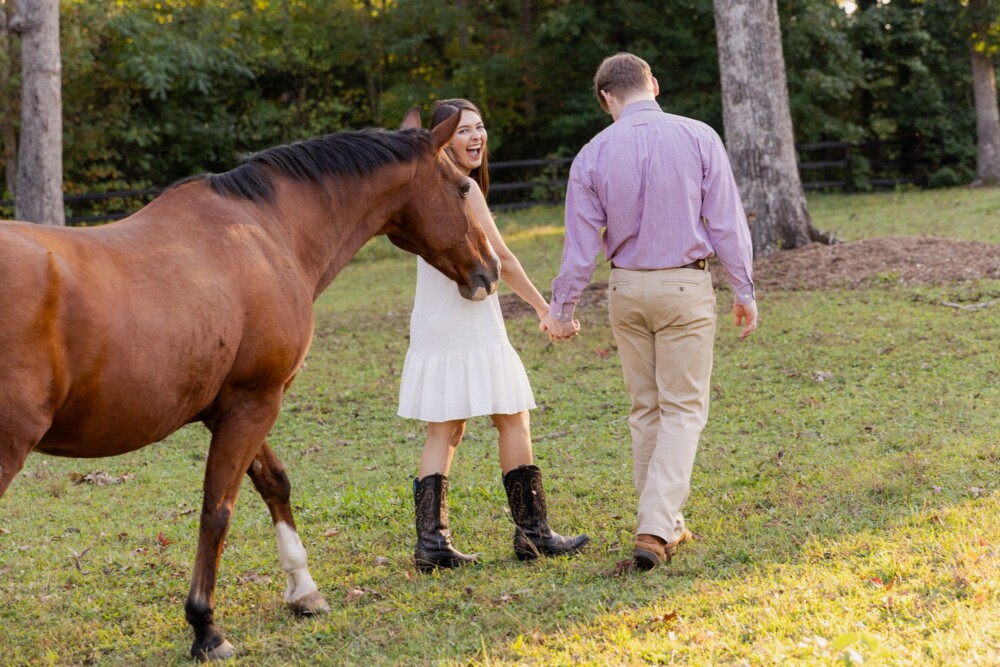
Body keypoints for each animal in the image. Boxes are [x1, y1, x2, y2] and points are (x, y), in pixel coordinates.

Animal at [0, 109, 500, 664]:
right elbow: (218, 509)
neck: (266, 231)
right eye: (462, 187)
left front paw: (303, 590)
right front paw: (206, 628)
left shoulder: (243, 404)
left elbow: (273, 483)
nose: (491, 269)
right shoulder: (254, 402)